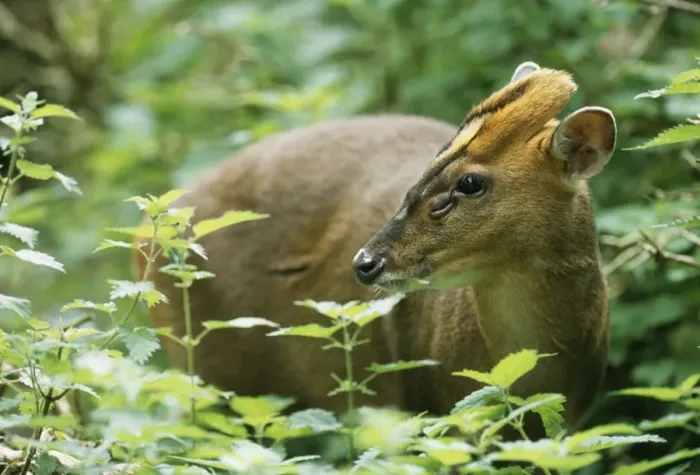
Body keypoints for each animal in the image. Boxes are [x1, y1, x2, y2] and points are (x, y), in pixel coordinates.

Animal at [135, 61, 615, 432]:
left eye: (470, 182)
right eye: (429, 164)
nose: (365, 263)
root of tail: (145, 232)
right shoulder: (436, 407)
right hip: (206, 364)